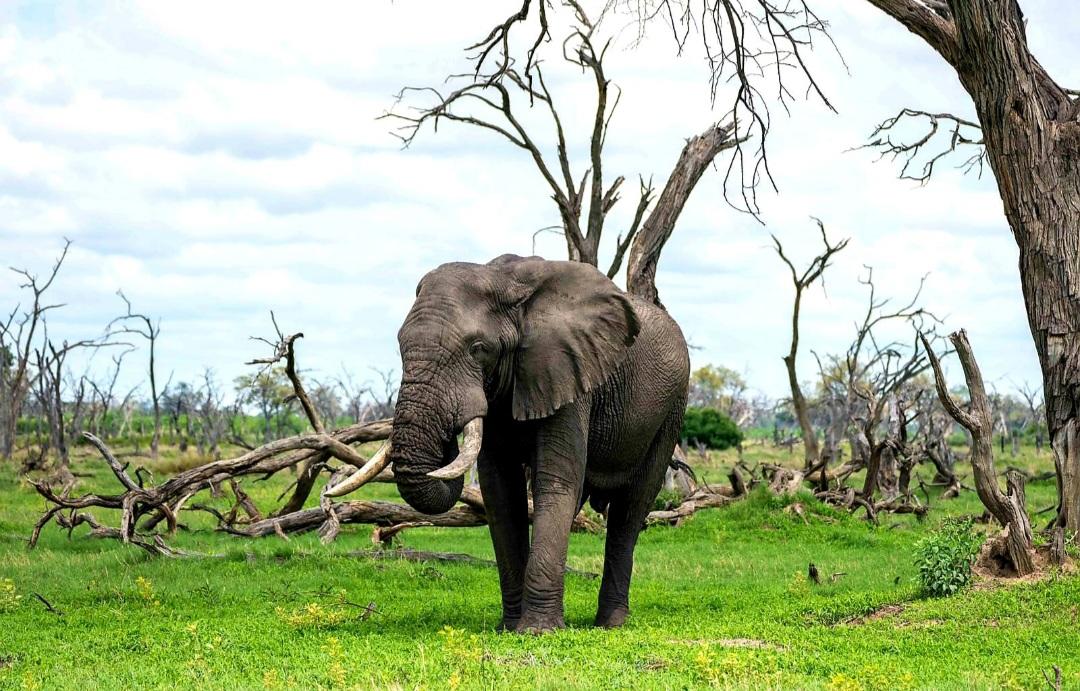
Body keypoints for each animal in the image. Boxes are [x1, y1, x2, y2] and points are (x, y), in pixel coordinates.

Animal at [354, 254, 689, 632]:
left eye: (478, 349)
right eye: (400, 344)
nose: (450, 430)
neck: (507, 283)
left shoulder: (567, 372)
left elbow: (555, 482)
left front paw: (538, 631)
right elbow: (500, 493)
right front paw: (510, 628)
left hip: (671, 410)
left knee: (631, 509)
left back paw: (610, 623)